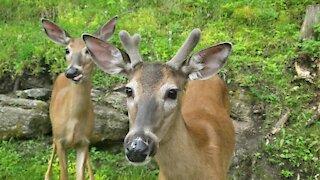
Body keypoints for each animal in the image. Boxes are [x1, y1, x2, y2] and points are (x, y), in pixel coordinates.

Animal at [41, 16, 118, 179]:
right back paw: (47, 175)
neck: (74, 120)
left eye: (88, 50)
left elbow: (80, 174)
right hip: (54, 129)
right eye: (67, 50)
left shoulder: (84, 142)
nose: (71, 72)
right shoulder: (60, 140)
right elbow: (64, 174)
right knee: (52, 147)